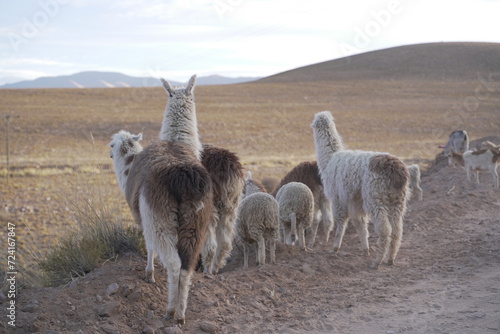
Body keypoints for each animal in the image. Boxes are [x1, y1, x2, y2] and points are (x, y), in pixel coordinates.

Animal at [109, 130, 213, 324]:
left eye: (111, 145)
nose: (110, 154)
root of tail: (184, 176)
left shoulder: (146, 219)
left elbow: (149, 246)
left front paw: (149, 274)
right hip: (195, 223)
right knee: (187, 266)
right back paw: (181, 314)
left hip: (161, 218)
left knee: (174, 264)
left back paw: (170, 311)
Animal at [157, 75, 243, 274]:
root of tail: (226, 165)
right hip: (230, 205)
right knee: (225, 243)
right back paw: (214, 270)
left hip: (208, 208)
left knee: (210, 245)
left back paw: (205, 270)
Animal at [308, 111, 410, 268]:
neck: (330, 159)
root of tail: (396, 170)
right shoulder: (355, 200)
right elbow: (360, 223)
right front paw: (365, 250)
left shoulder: (338, 197)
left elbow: (341, 221)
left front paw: (334, 248)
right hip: (397, 201)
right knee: (397, 230)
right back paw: (390, 259)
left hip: (375, 198)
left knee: (385, 230)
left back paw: (377, 262)